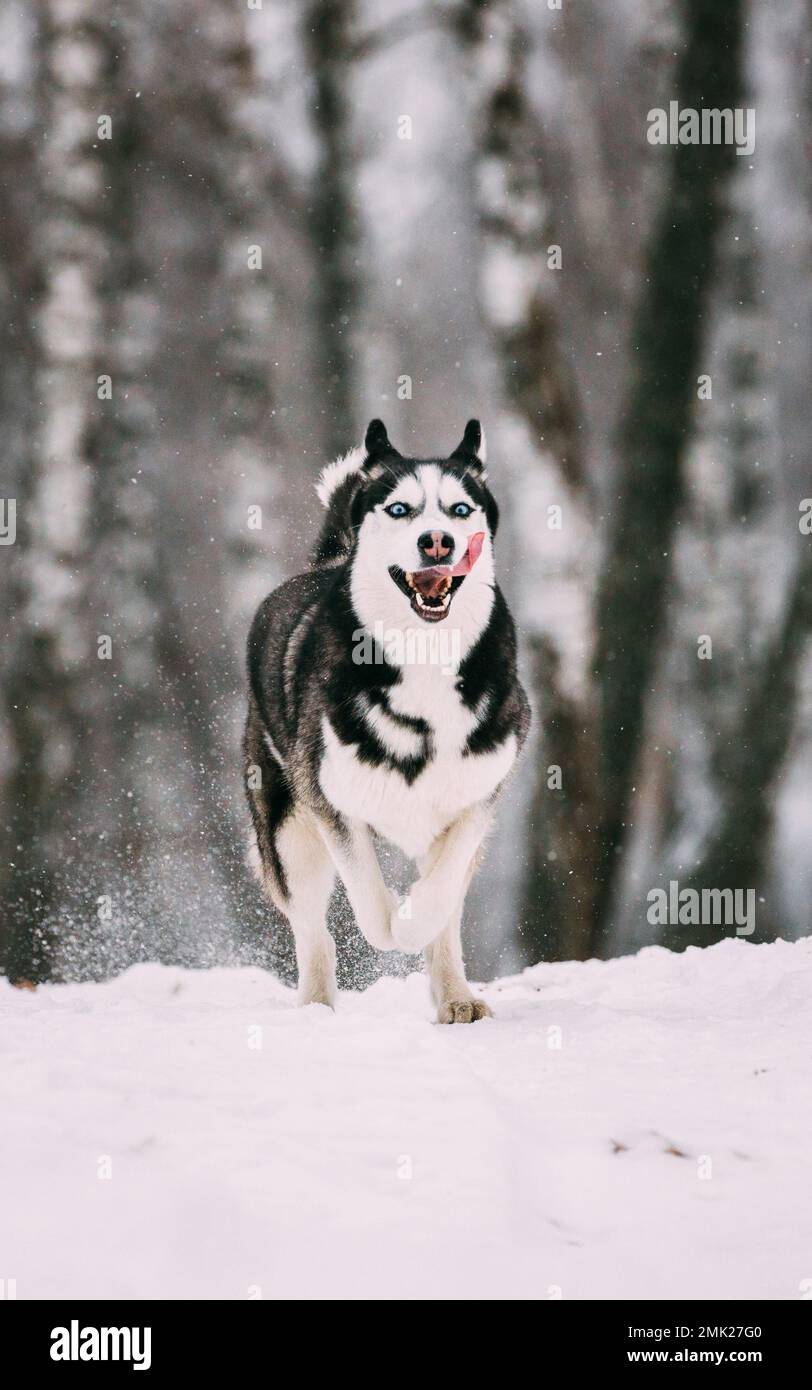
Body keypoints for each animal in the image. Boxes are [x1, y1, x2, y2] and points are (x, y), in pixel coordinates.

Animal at [244, 414, 528, 1023]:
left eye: (459, 509)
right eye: (400, 509)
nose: (437, 540)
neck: (422, 659)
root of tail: (327, 560)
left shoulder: (477, 798)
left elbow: (441, 898)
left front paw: (416, 918)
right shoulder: (331, 805)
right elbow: (371, 906)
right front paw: (395, 921)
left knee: (447, 916)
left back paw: (456, 997)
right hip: (287, 830)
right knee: (314, 930)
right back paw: (315, 1006)